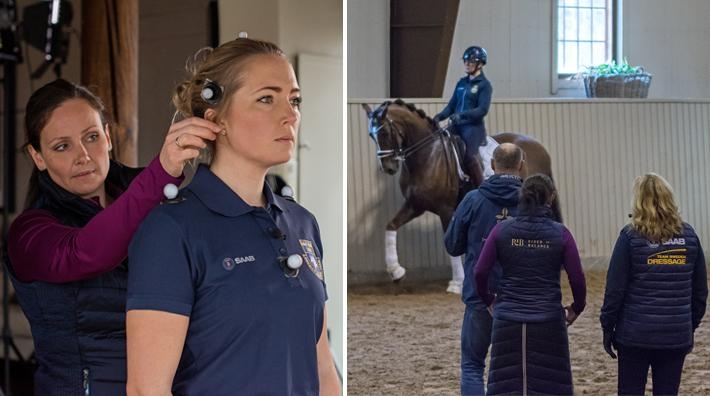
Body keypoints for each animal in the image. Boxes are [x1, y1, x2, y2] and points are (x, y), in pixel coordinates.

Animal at [362, 99, 560, 294]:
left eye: (385, 132)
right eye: (371, 135)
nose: (388, 168)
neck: (428, 154)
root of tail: (538, 146)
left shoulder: (445, 209)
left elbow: (449, 243)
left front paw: (457, 282)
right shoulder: (415, 205)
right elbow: (391, 225)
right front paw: (395, 271)